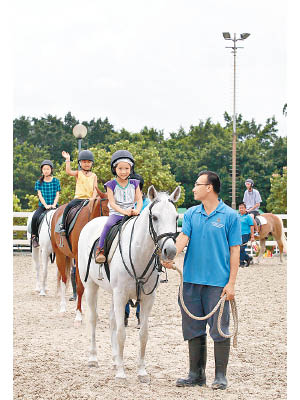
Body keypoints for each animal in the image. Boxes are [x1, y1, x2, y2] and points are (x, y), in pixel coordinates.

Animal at [50, 189, 109, 324]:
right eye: (106, 209)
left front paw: (95, 314)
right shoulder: (78, 259)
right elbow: (80, 286)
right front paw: (78, 315)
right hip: (60, 256)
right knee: (64, 279)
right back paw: (63, 308)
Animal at [78, 186, 180, 380]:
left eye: (176, 217)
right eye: (155, 217)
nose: (170, 251)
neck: (138, 253)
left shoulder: (147, 299)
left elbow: (143, 334)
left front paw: (141, 372)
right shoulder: (120, 296)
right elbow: (121, 333)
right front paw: (121, 373)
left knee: (111, 320)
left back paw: (114, 359)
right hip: (91, 287)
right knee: (94, 319)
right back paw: (93, 358)